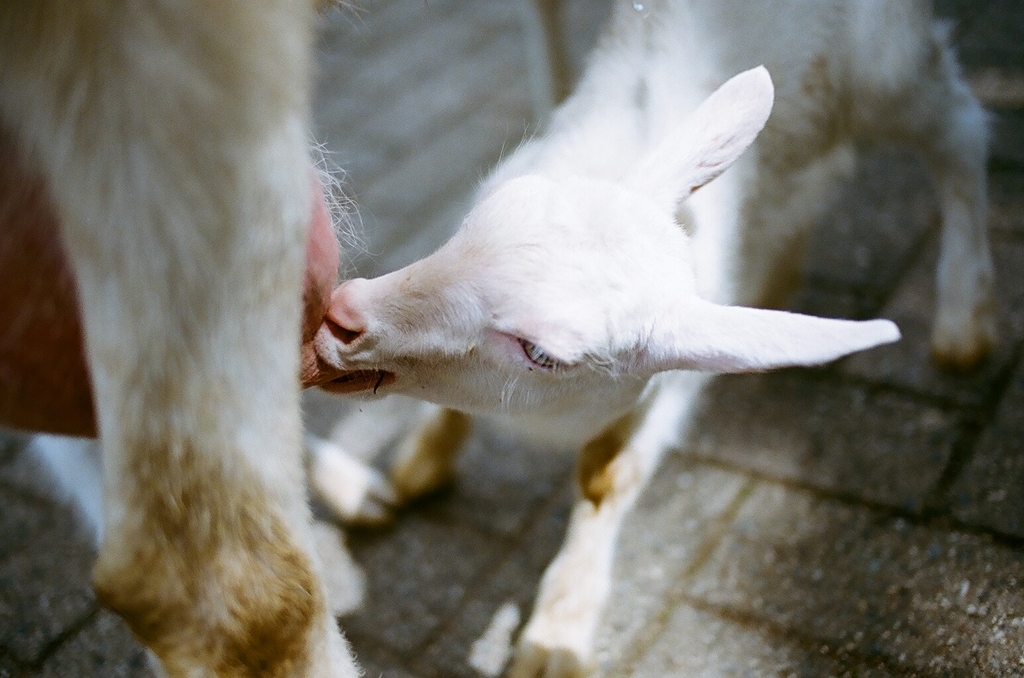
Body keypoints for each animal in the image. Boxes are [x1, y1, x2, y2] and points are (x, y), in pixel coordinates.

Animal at [313, 0, 991, 675]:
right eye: (478, 219)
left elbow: (606, 478)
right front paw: (417, 465)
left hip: (884, 65)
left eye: (542, 353)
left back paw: (964, 317)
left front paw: (556, 637)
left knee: (959, 129)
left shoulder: (668, 387)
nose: (343, 314)